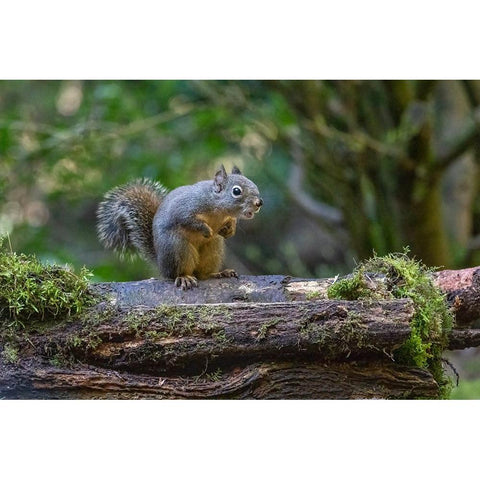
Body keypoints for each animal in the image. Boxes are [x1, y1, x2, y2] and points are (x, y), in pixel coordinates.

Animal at [96, 165, 264, 290]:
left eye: (254, 185)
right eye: (236, 191)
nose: (259, 202)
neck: (218, 209)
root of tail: (161, 264)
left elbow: (230, 222)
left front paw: (230, 230)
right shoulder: (185, 208)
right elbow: (188, 220)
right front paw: (206, 230)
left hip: (213, 249)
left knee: (202, 274)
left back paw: (218, 274)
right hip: (177, 248)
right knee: (176, 273)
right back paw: (184, 278)